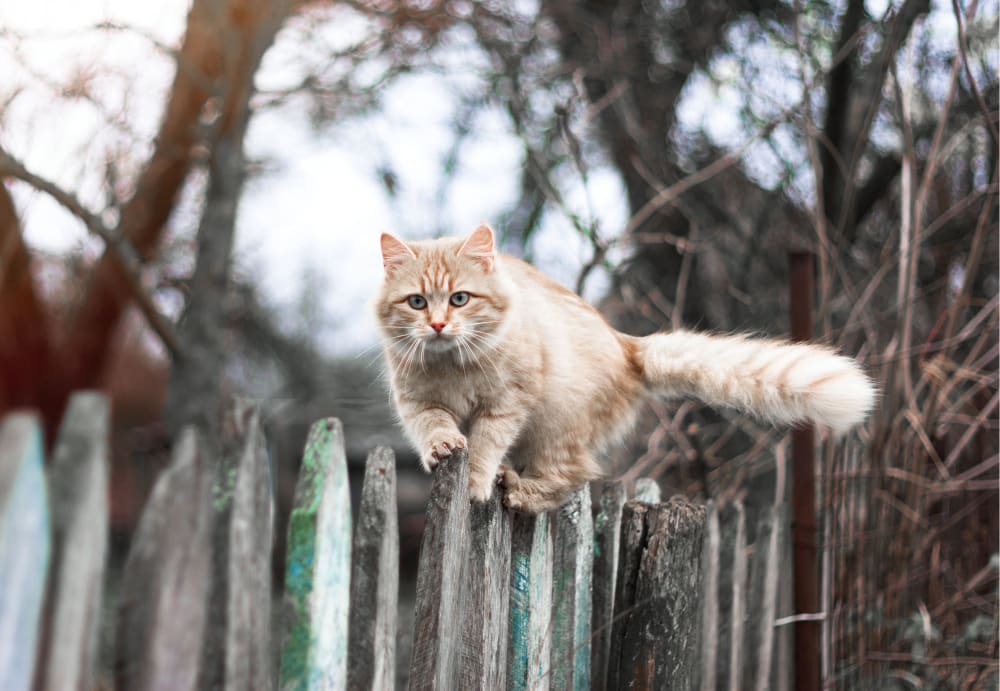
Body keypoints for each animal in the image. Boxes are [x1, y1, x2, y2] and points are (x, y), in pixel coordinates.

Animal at [376, 224, 876, 510]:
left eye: (460, 298)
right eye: (417, 302)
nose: (438, 325)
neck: (452, 366)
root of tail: (626, 345)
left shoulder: (507, 404)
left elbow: (483, 447)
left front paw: (478, 483)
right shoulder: (418, 404)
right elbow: (436, 429)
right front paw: (443, 447)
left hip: (559, 427)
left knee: (572, 476)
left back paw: (519, 491)